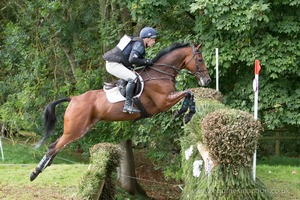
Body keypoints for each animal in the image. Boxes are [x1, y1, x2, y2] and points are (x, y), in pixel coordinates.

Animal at [29, 42, 210, 181]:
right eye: (200, 59)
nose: (207, 80)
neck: (160, 74)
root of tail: (73, 98)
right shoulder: (163, 102)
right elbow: (188, 92)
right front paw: (185, 112)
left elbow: (189, 93)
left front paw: (186, 112)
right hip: (75, 128)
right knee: (53, 147)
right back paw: (35, 173)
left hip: (81, 129)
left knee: (55, 145)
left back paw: (44, 166)